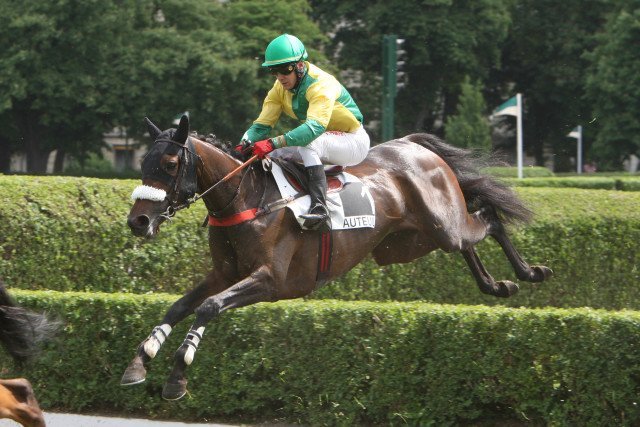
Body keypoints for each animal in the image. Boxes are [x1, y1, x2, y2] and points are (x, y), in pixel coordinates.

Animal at [121, 115, 552, 400]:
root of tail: (413, 146)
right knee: (467, 242)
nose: (138, 221)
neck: (247, 198)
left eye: (170, 164)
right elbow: (179, 306)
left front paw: (177, 375)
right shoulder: (224, 273)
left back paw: (530, 272)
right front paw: (140, 360)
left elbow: (208, 307)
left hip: (441, 224)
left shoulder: (271, 280)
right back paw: (496, 285)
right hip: (407, 243)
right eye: (141, 162)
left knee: (488, 218)